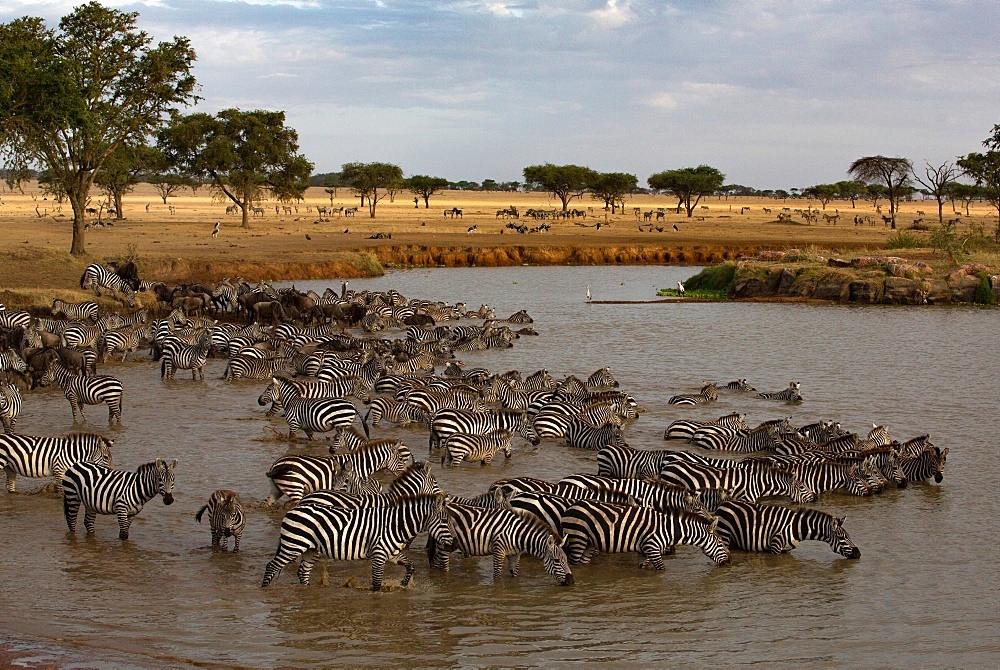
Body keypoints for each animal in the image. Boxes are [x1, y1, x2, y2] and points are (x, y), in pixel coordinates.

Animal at [260, 490, 448, 592]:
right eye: (445, 521)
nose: (451, 544)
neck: (395, 525)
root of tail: (294, 509)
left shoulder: (392, 553)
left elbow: (411, 566)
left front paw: (403, 584)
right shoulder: (379, 554)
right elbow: (377, 583)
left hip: (310, 549)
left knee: (303, 572)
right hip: (293, 545)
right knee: (272, 566)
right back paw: (265, 590)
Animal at [430, 502, 572, 584]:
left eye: (566, 559)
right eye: (557, 561)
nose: (572, 581)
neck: (517, 535)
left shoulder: (515, 555)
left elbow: (515, 574)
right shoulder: (499, 550)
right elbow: (497, 577)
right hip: (444, 544)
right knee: (444, 566)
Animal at [560, 502, 732, 568]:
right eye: (720, 543)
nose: (730, 561)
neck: (669, 529)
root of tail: (571, 506)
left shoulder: (644, 552)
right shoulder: (653, 548)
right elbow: (661, 570)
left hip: (589, 543)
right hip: (578, 538)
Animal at [716, 502, 864, 560]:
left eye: (849, 536)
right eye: (842, 538)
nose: (858, 553)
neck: (798, 527)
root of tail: (723, 504)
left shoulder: (785, 550)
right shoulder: (775, 546)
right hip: (725, 535)